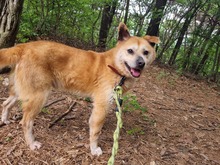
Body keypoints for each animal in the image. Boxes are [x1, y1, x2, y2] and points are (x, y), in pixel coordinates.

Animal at [0, 23, 158, 156]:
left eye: (146, 52)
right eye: (130, 51)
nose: (141, 63)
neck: (114, 67)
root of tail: (24, 46)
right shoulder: (101, 107)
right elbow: (95, 132)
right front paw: (94, 149)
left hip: (20, 92)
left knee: (6, 104)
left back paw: (5, 120)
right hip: (38, 97)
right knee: (26, 122)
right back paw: (31, 143)